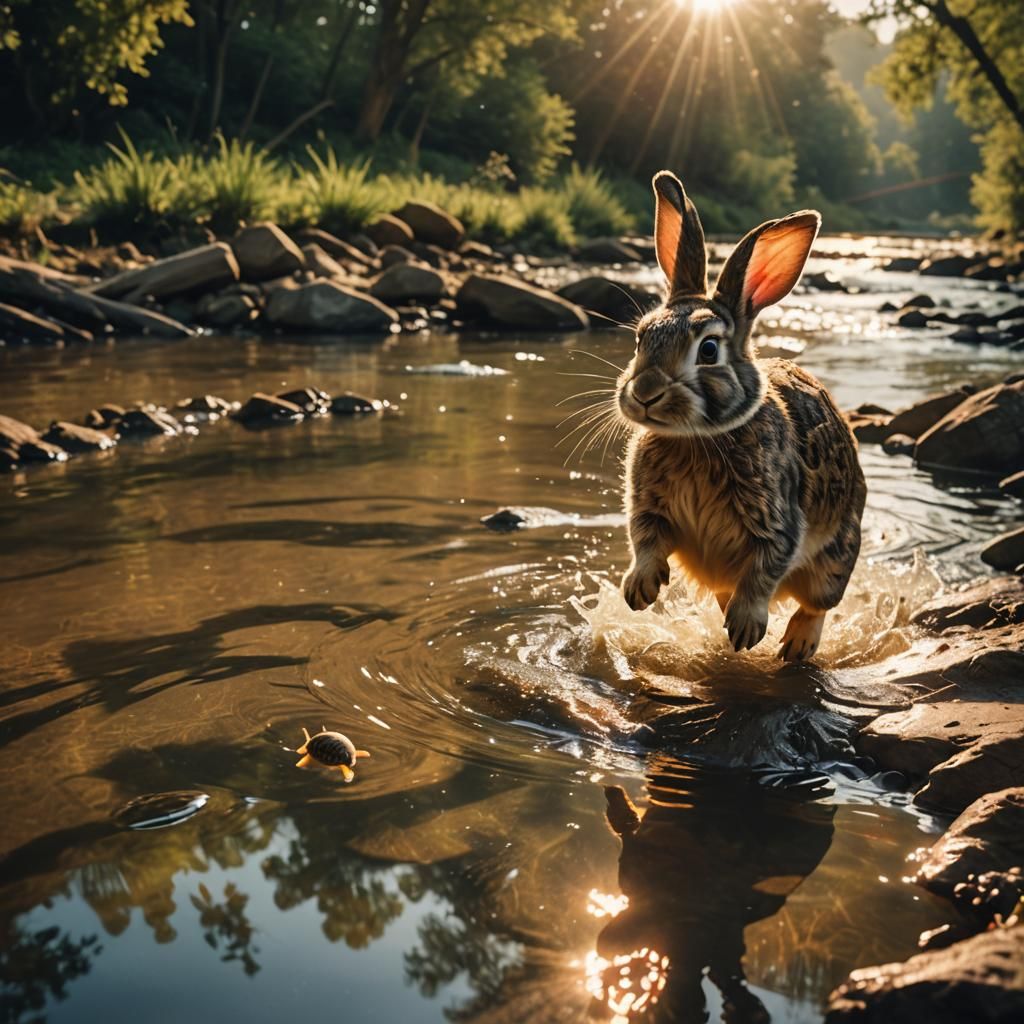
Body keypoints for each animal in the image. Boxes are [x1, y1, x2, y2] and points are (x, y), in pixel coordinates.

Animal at [617, 170, 865, 661]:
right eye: (641, 339)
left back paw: (796, 645)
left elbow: (763, 571)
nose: (646, 393)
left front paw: (747, 628)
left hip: (833, 560)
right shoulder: (649, 508)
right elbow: (646, 539)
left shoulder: (777, 524)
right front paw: (639, 589)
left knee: (817, 603)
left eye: (709, 349)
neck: (696, 438)